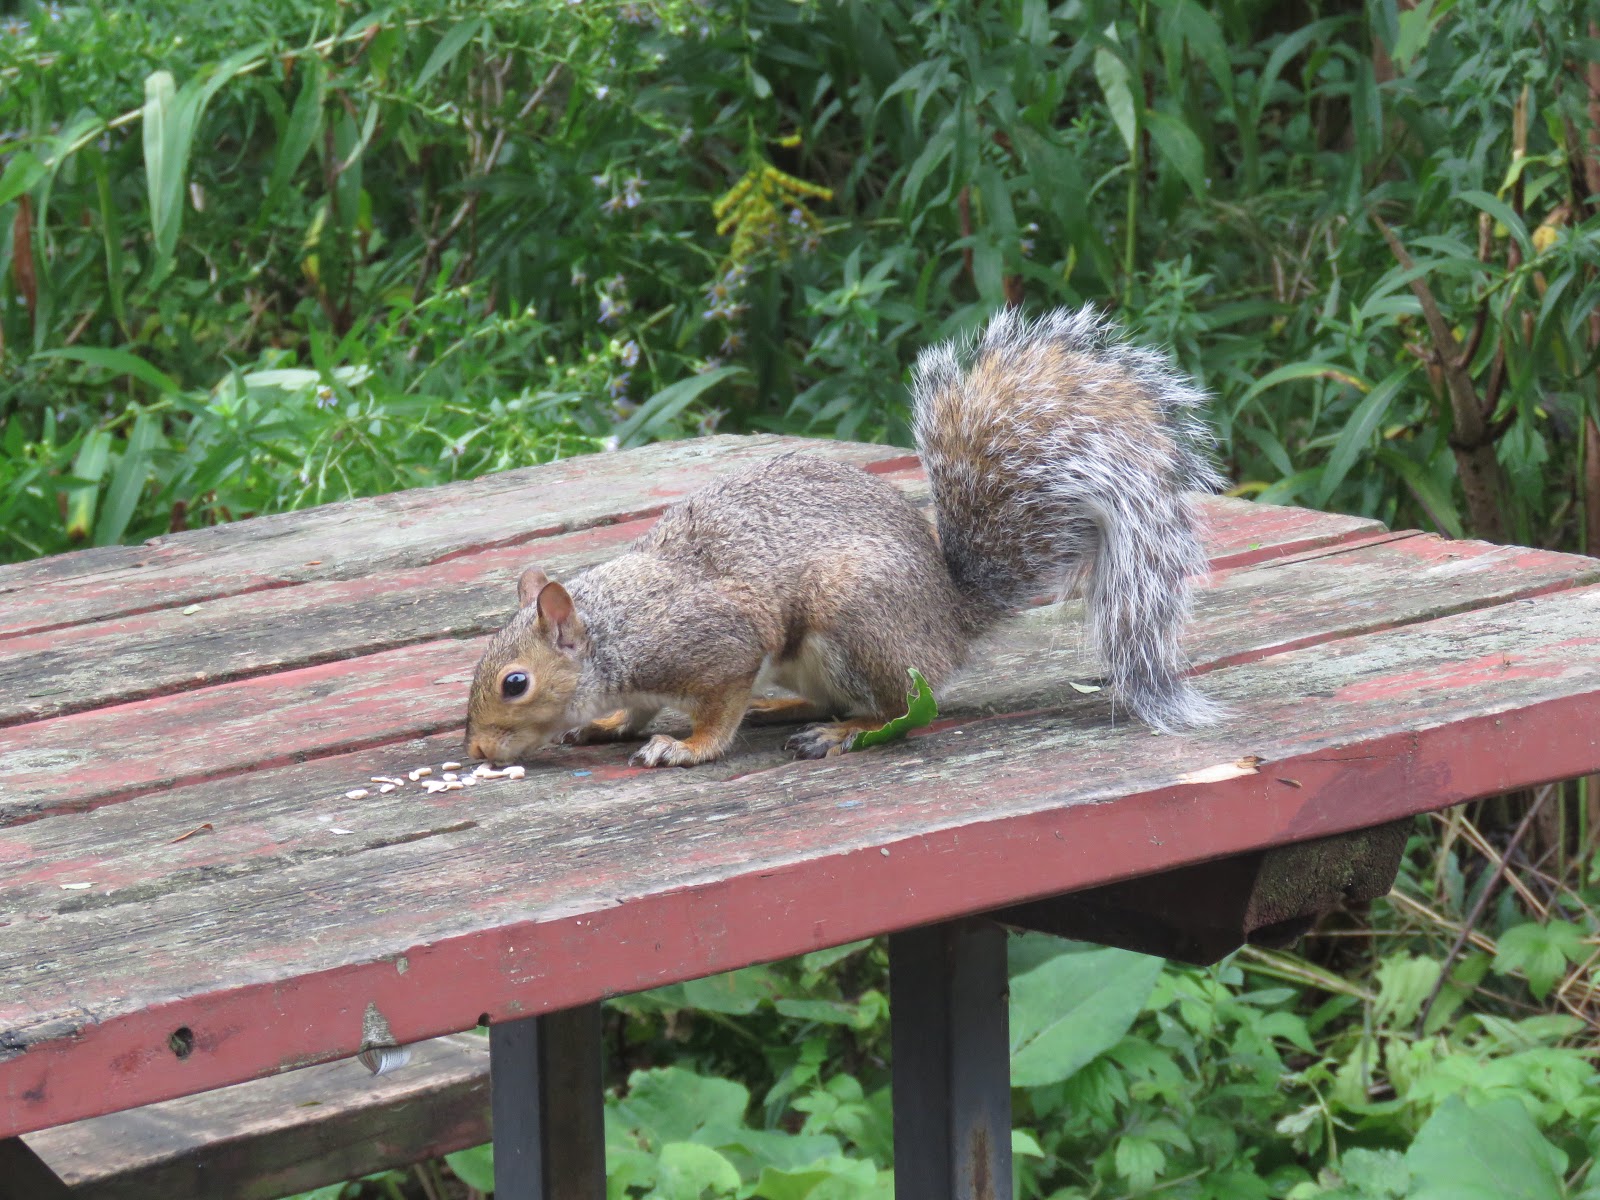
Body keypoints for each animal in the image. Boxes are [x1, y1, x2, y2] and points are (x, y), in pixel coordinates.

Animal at [465, 306, 1223, 768]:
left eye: (514, 683)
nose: (475, 751)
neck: (614, 632)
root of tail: (947, 623)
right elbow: (637, 708)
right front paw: (607, 723)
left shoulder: (717, 644)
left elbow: (717, 708)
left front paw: (685, 747)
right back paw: (790, 707)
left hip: (855, 616)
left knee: (900, 708)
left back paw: (839, 731)